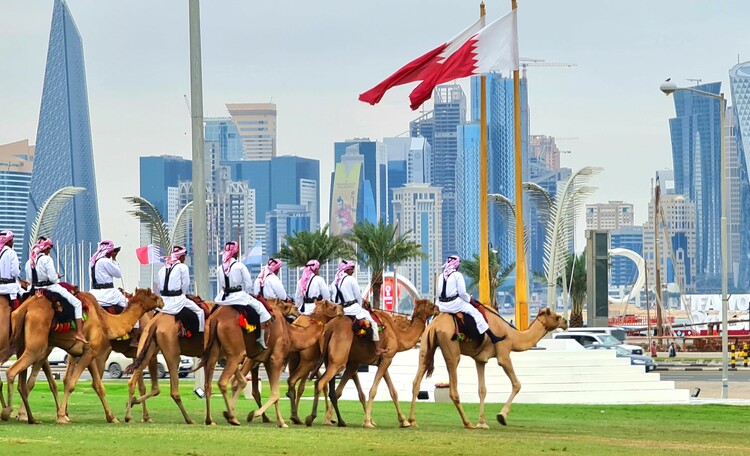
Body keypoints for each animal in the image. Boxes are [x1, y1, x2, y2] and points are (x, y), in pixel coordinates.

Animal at [0, 288, 164, 424]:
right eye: (153, 295)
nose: (162, 301)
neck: (105, 322)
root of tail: (24, 308)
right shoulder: (94, 352)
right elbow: (72, 383)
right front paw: (61, 416)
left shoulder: (89, 352)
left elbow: (98, 386)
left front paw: (112, 417)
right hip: (36, 347)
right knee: (12, 372)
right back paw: (8, 412)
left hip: (24, 345)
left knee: (22, 381)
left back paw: (29, 417)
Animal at [200, 300, 340, 428]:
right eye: (333, 306)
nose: (341, 310)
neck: (291, 334)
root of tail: (216, 318)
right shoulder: (276, 358)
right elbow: (276, 393)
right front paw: (255, 414)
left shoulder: (267, 360)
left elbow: (274, 392)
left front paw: (281, 422)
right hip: (237, 353)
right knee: (223, 382)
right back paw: (232, 418)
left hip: (216, 351)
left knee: (209, 384)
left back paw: (211, 419)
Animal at [306, 298, 438, 430]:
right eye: (431, 305)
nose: (437, 309)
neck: (397, 334)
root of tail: (330, 328)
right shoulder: (386, 358)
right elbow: (373, 391)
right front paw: (368, 422)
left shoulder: (379, 361)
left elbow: (393, 392)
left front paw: (404, 421)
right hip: (338, 362)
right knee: (321, 383)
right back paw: (312, 418)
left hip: (330, 359)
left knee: (328, 386)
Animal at [408, 306, 568, 428]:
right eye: (556, 316)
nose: (566, 322)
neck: (512, 335)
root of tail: (434, 325)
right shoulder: (504, 353)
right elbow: (517, 384)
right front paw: (501, 416)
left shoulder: (480, 360)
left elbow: (482, 390)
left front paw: (482, 423)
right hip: (452, 350)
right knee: (453, 389)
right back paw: (467, 423)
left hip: (425, 346)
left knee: (416, 382)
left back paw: (411, 421)